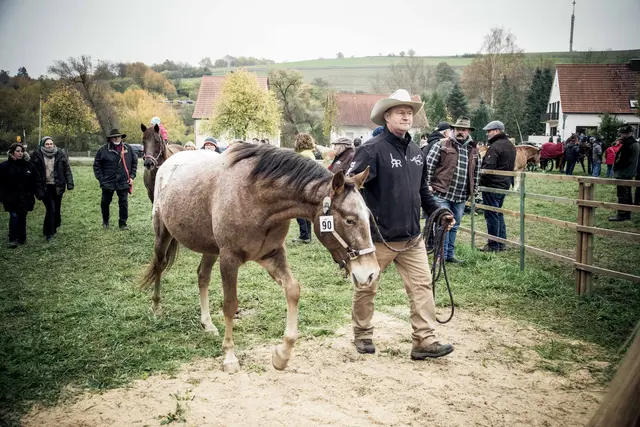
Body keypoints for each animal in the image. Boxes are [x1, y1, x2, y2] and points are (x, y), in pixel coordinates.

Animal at [142, 144, 379, 373]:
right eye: (349, 220)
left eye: (368, 216)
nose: (370, 273)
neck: (256, 197)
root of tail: (169, 163)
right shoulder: (229, 259)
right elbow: (230, 305)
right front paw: (229, 356)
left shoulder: (271, 254)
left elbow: (293, 290)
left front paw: (282, 354)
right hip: (163, 235)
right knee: (160, 266)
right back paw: (156, 308)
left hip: (210, 248)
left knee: (202, 277)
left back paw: (207, 324)